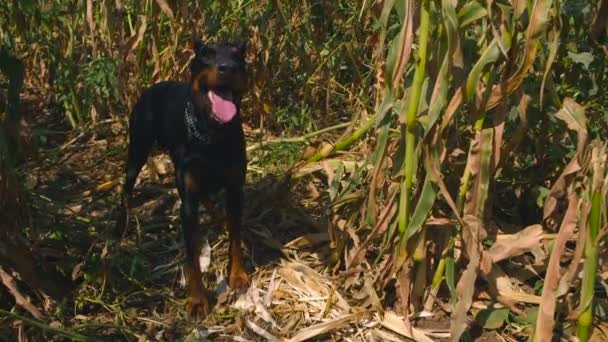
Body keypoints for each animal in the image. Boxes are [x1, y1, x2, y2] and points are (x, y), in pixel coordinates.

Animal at [116, 37, 249, 318]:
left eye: (238, 56)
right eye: (207, 54)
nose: (227, 68)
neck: (212, 134)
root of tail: (154, 86)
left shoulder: (235, 189)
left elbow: (235, 236)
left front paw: (238, 275)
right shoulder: (187, 203)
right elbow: (191, 257)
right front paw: (197, 300)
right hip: (138, 148)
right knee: (127, 186)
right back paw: (120, 224)